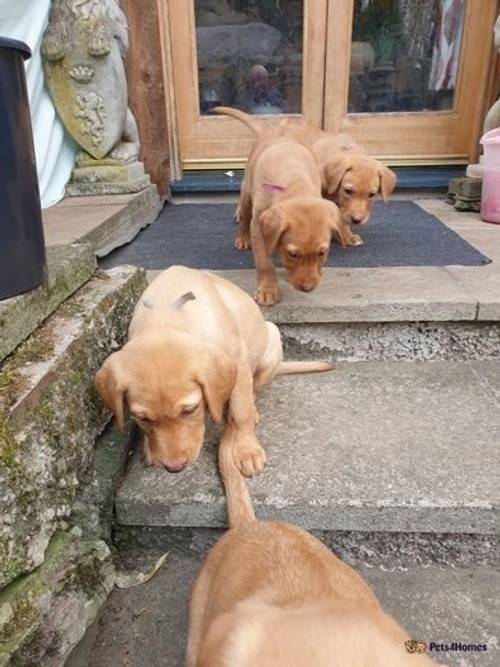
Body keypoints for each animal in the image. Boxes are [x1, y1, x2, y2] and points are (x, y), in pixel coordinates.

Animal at [211, 107, 360, 308]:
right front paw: (268, 290)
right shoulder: (258, 227)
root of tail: (272, 133)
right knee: (244, 215)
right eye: (293, 254)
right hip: (247, 190)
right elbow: (264, 262)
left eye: (322, 253)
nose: (308, 288)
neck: (295, 185)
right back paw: (242, 238)